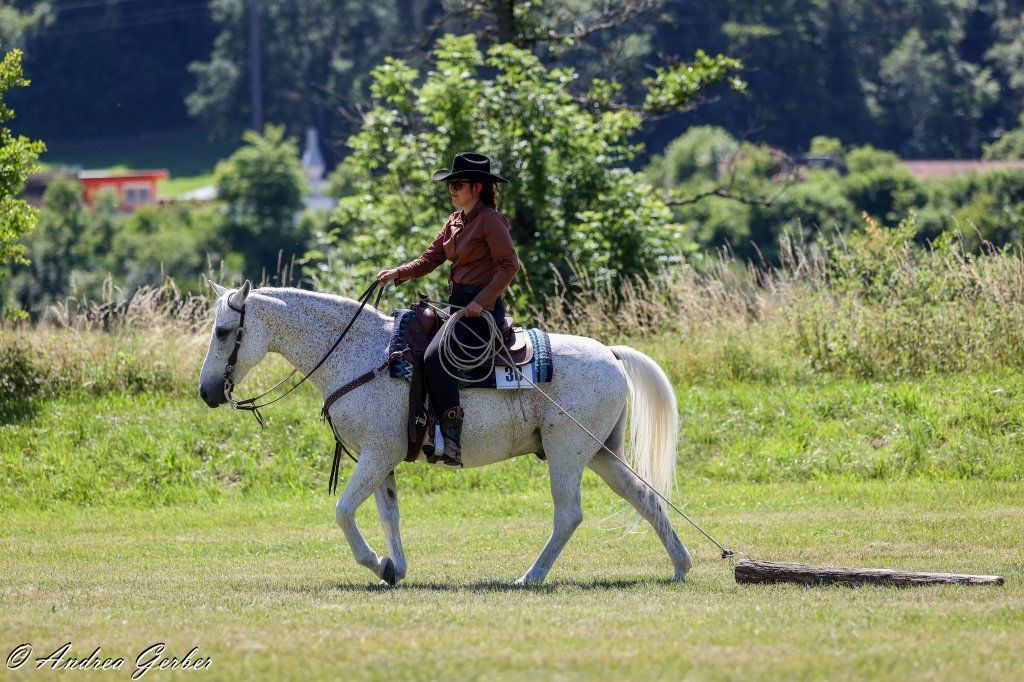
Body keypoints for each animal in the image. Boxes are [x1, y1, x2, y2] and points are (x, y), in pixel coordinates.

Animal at [197, 281, 693, 585]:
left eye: (223, 331)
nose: (206, 392)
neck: (361, 355)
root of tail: (610, 353)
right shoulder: (382, 459)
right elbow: (389, 516)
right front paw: (394, 568)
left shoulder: (377, 454)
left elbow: (343, 511)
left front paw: (375, 563)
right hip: (602, 452)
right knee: (646, 497)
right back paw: (681, 566)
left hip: (567, 453)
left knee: (569, 515)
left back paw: (530, 577)